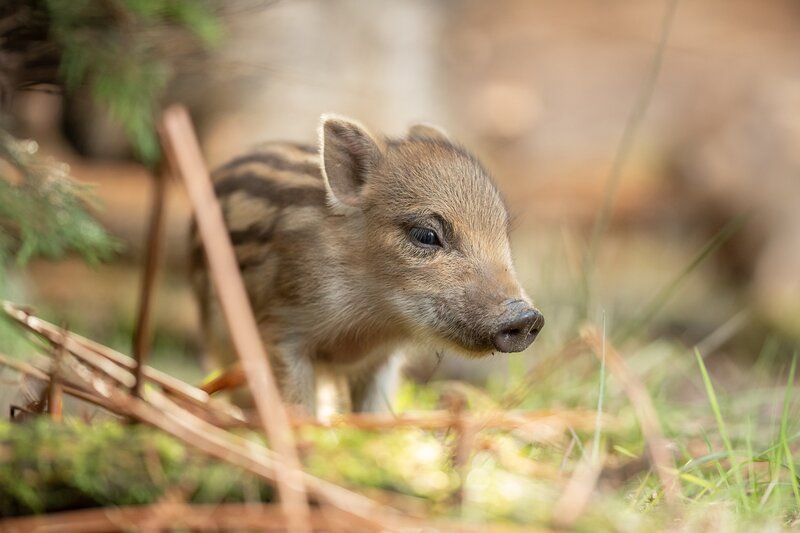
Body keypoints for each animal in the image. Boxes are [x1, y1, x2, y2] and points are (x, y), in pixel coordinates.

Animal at [191, 114, 543, 416]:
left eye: (502, 231)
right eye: (426, 235)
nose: (528, 317)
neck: (372, 316)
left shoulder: (382, 361)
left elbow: (374, 414)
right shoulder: (281, 332)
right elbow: (297, 404)